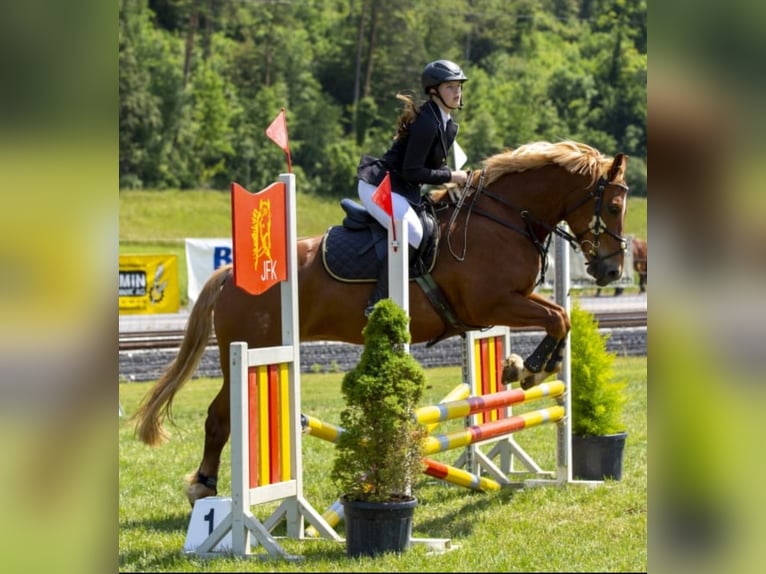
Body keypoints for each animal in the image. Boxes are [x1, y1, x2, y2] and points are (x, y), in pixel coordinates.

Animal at [134, 142, 632, 506]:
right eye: (613, 207)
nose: (610, 271)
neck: (504, 219)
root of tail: (231, 274)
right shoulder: (492, 305)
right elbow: (557, 317)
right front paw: (526, 369)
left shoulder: (506, 305)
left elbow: (560, 318)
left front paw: (524, 367)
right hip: (249, 349)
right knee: (220, 417)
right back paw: (203, 486)